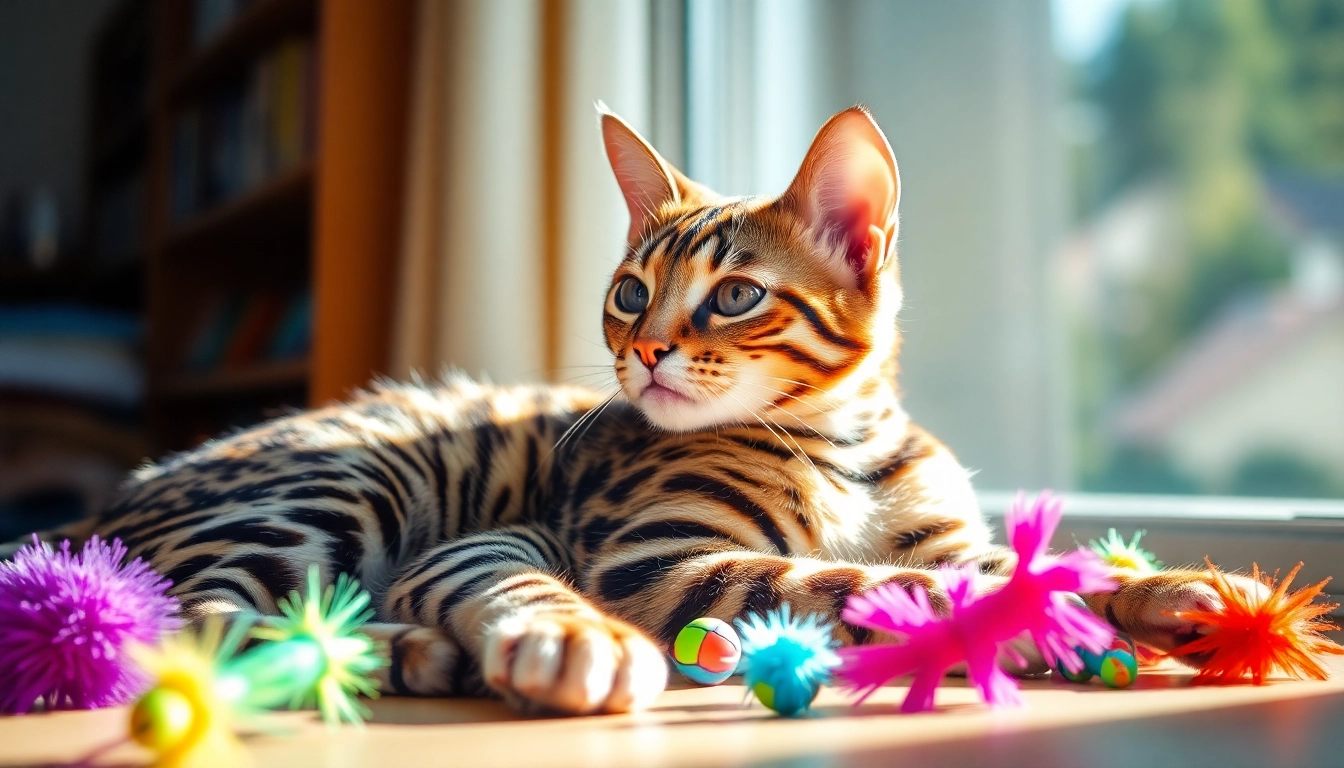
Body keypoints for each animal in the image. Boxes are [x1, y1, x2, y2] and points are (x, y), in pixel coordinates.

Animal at [13, 103, 1257, 715]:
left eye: (736, 295)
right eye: (626, 291)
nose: (647, 349)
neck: (842, 447)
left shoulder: (946, 530)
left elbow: (1018, 564)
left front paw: (1168, 590)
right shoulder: (661, 560)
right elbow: (877, 581)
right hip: (348, 480)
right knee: (199, 621)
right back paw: (415, 650)